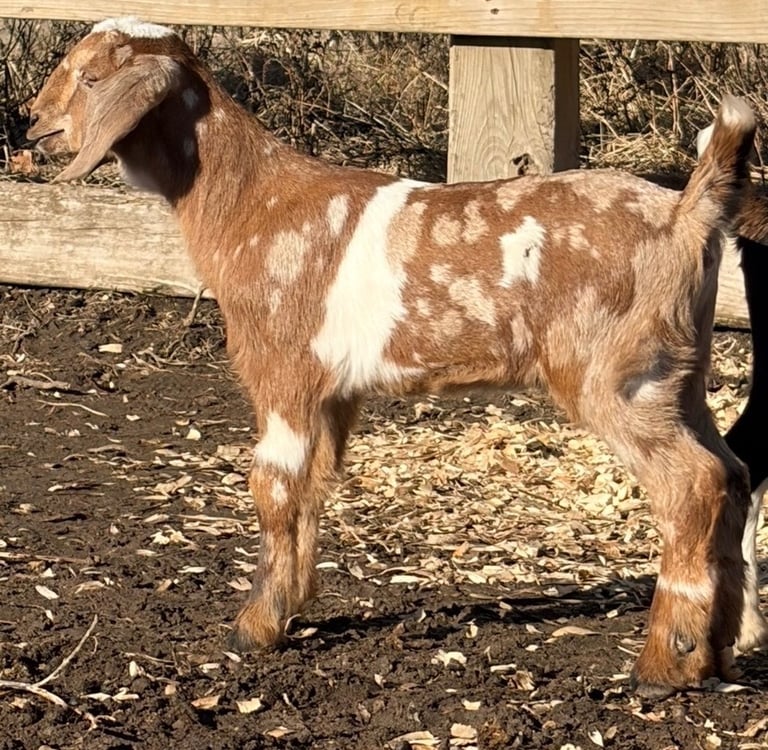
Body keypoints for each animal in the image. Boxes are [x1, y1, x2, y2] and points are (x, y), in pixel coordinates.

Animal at [27, 17, 758, 698]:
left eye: (90, 78)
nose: (33, 126)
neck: (251, 204)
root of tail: (687, 214)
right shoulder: (334, 392)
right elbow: (314, 486)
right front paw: (291, 608)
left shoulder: (284, 373)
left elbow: (271, 485)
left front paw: (253, 627)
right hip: (679, 376)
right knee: (734, 472)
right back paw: (720, 648)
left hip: (618, 375)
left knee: (693, 485)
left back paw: (667, 661)